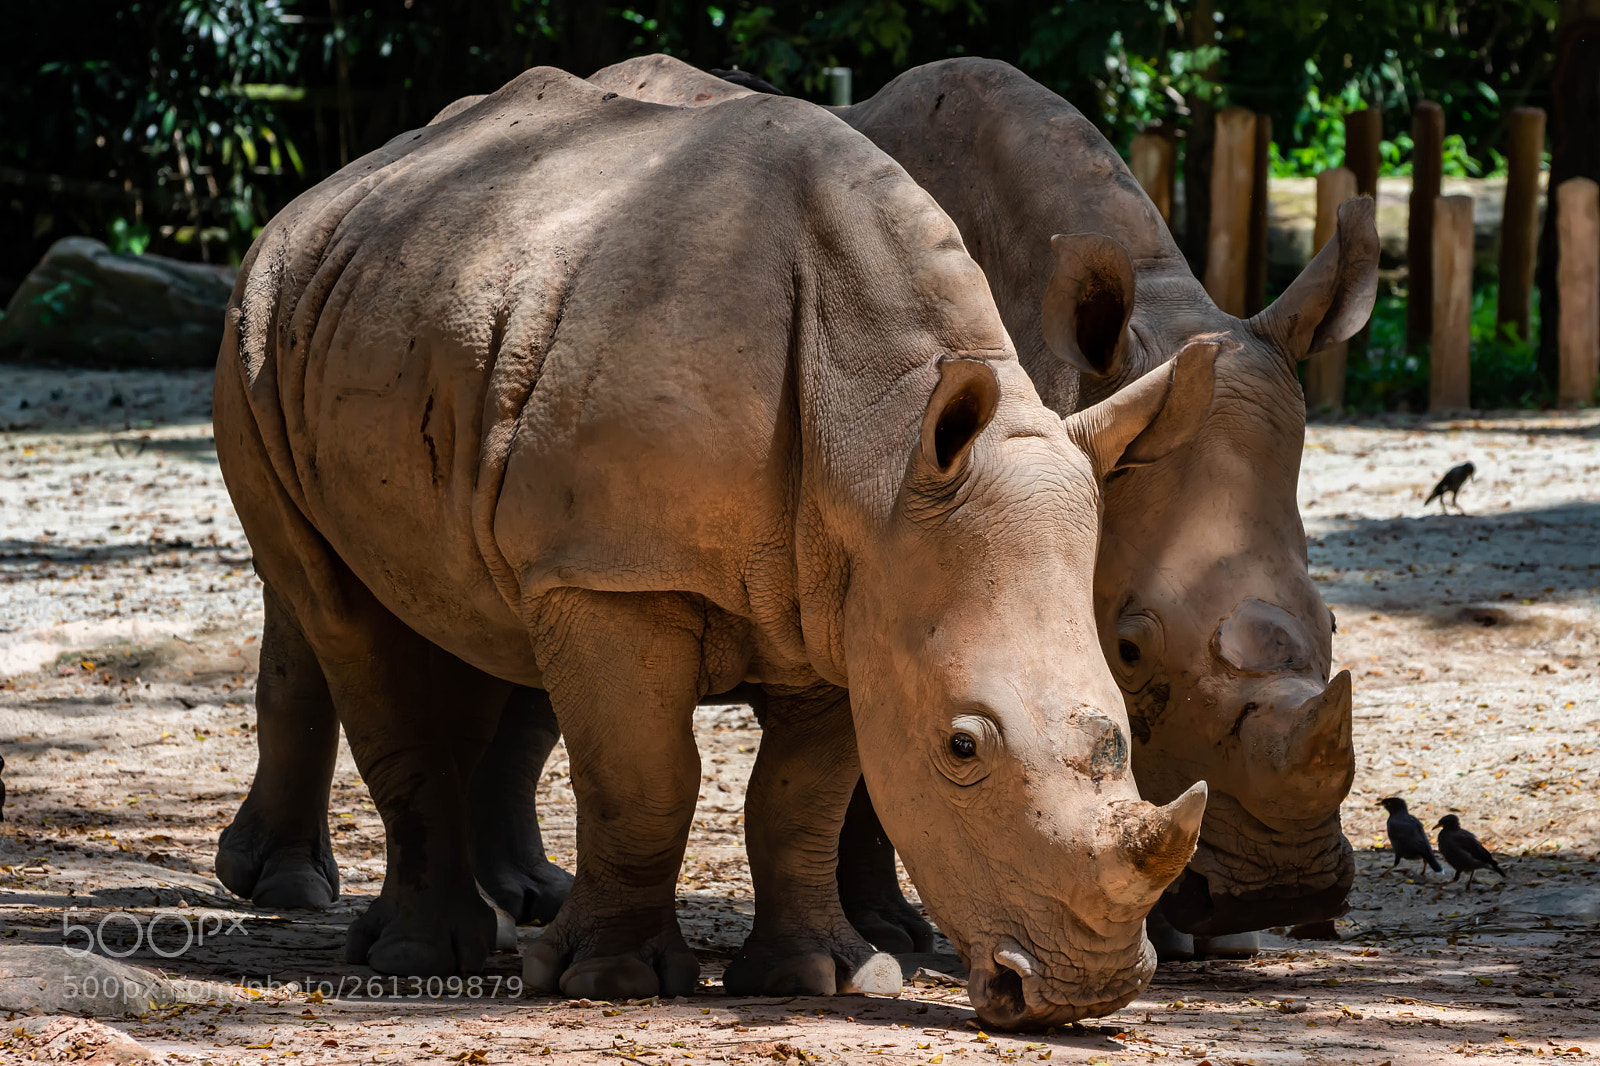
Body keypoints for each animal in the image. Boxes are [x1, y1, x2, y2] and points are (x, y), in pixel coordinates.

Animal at [212, 65, 1216, 1027]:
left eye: (1124, 730)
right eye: (962, 747)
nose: (1087, 993)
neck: (878, 447)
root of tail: (323, 193)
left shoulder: (855, 593)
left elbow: (800, 797)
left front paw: (820, 977)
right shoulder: (617, 573)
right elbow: (645, 777)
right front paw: (609, 981)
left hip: (412, 314)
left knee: (465, 607)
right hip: (254, 327)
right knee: (340, 609)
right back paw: (413, 954)